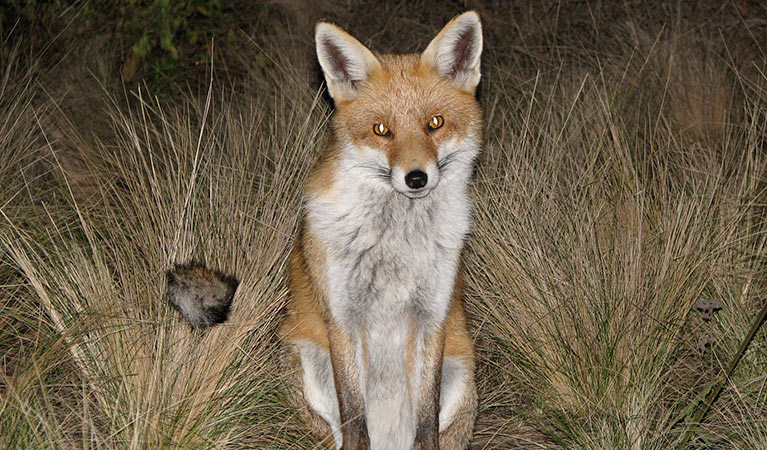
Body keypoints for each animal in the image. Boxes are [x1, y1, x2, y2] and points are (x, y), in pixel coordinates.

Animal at [280, 10, 484, 450]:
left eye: (435, 123)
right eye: (381, 129)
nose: (416, 178)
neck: (397, 245)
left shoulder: (432, 316)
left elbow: (426, 422)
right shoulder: (343, 317)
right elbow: (355, 420)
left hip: (461, 370)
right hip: (305, 360)